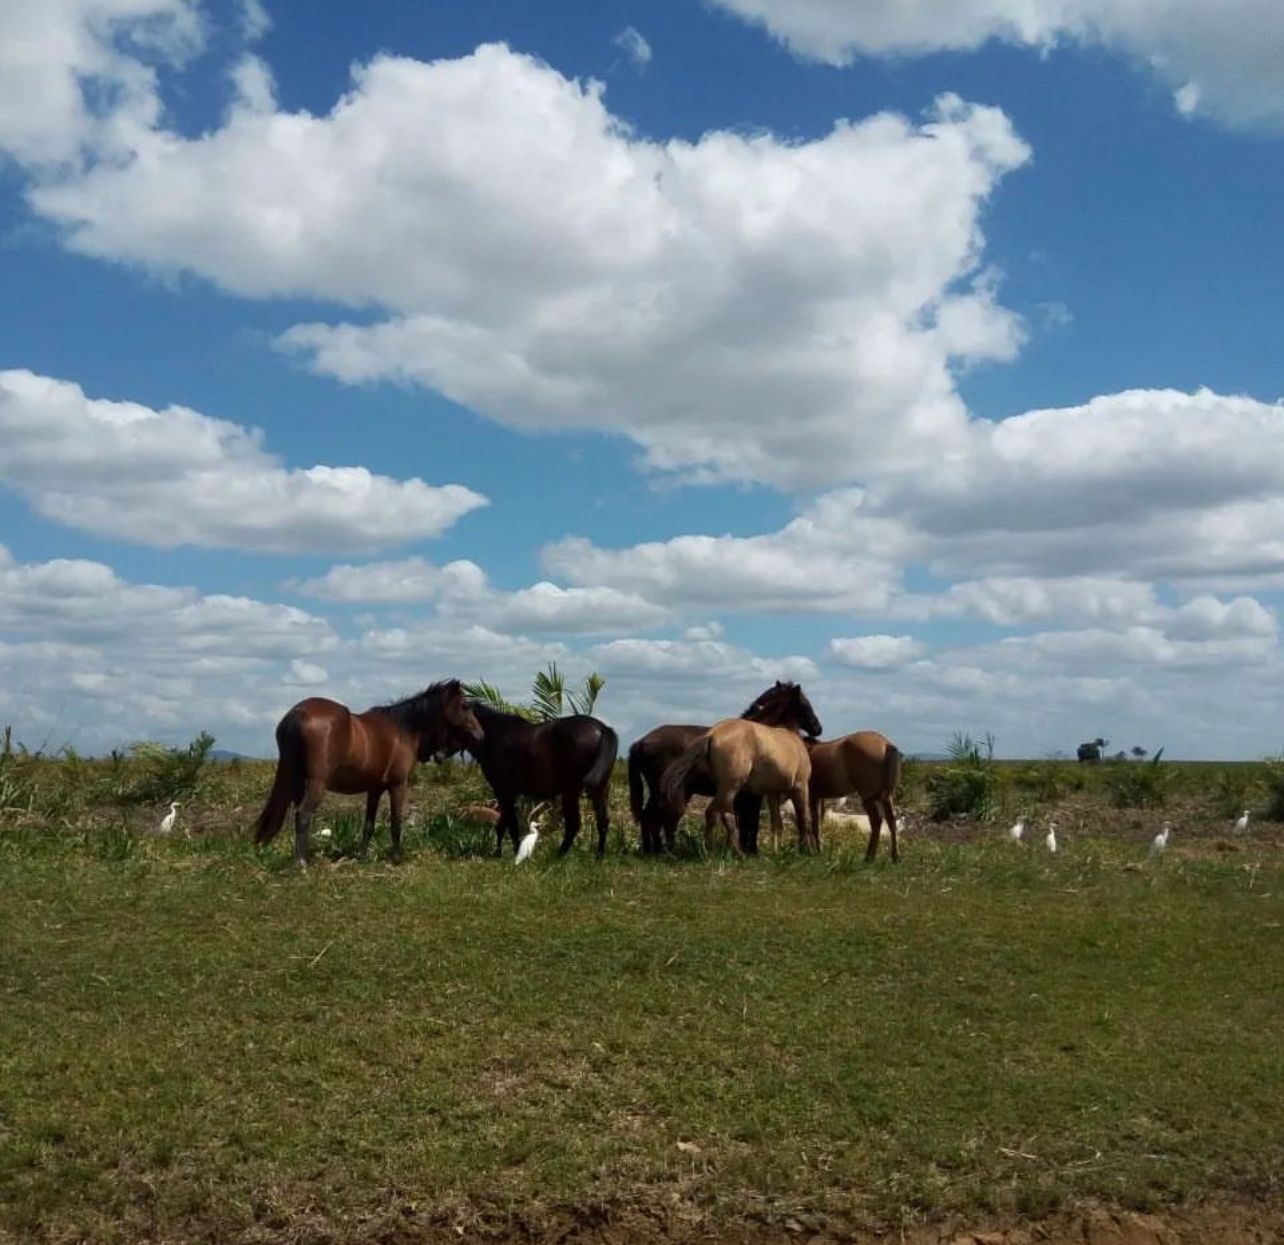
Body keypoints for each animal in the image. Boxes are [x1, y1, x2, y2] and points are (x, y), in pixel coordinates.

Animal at [254, 677, 482, 862]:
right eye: (464, 705)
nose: (480, 734)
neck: (404, 730)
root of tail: (297, 713)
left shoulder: (374, 789)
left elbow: (369, 825)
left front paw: (362, 856)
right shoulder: (398, 785)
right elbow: (396, 823)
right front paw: (397, 858)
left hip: (296, 783)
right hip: (317, 784)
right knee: (303, 815)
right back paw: (302, 863)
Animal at [467, 703, 621, 857]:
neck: (496, 733)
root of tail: (603, 728)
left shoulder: (504, 791)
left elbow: (506, 823)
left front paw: (503, 853)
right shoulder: (508, 793)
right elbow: (507, 822)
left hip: (571, 790)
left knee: (573, 823)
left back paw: (559, 856)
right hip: (599, 788)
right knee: (602, 821)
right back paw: (598, 855)